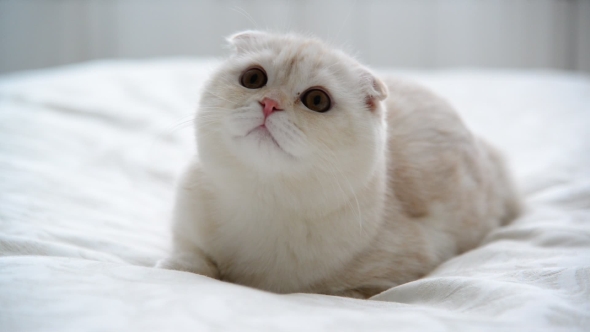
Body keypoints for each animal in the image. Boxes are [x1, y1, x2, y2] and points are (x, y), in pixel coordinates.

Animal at [158, 30, 524, 298]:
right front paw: (178, 267)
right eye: (253, 79)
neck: (260, 197)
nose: (270, 103)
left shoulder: (388, 275)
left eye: (317, 100)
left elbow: (344, 292)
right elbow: (190, 259)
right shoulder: (186, 224)